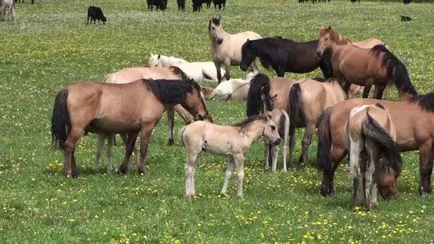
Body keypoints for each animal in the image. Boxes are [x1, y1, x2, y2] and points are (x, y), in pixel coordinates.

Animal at [50, 78, 212, 177]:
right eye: (199, 96)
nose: (204, 115)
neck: (154, 94)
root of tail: (68, 89)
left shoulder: (134, 129)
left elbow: (129, 148)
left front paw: (123, 169)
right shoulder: (146, 127)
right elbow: (143, 148)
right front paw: (141, 170)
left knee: (71, 148)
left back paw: (75, 171)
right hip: (77, 128)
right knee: (69, 146)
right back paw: (69, 172)